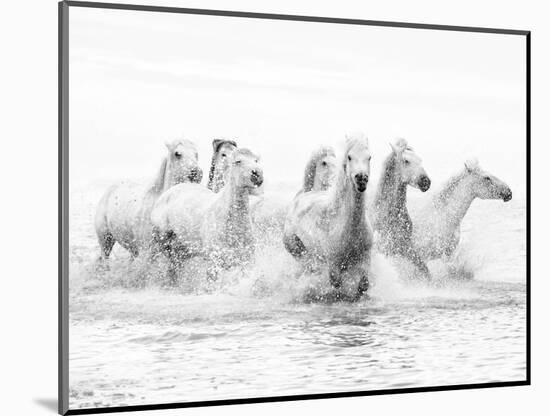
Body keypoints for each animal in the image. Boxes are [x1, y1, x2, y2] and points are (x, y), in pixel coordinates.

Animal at [150, 148, 264, 282]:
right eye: (238, 161)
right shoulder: (214, 263)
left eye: (256, 160)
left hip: (181, 251)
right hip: (159, 241)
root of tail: (168, 192)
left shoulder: (247, 262)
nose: (257, 174)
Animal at [284, 132, 376, 296]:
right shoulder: (333, 263)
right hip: (295, 248)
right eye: (349, 157)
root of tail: (303, 195)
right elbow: (336, 282)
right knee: (308, 265)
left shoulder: (365, 257)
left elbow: (363, 284)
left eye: (369, 157)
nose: (361, 179)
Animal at [374, 138, 434, 278]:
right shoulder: (385, 249)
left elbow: (424, 269)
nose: (426, 182)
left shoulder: (405, 247)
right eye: (406, 161)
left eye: (420, 160)